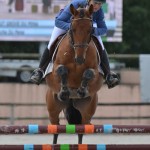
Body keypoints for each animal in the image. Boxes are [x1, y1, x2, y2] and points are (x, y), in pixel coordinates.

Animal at [45, 3, 103, 144]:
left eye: (90, 30)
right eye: (72, 29)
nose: (80, 59)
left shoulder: (96, 72)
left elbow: (89, 73)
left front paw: (82, 90)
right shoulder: (55, 69)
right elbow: (62, 70)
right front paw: (64, 91)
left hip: (87, 111)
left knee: (81, 129)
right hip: (53, 108)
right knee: (55, 128)